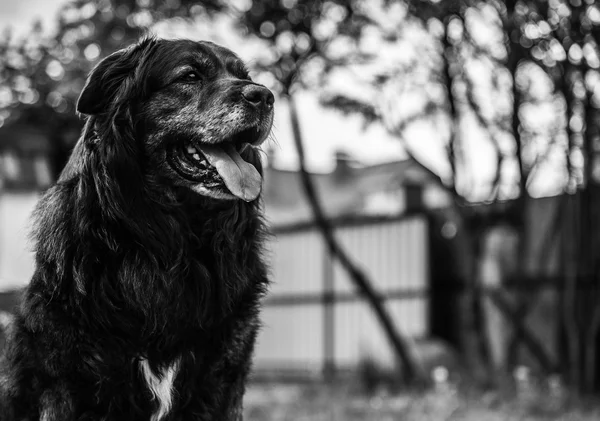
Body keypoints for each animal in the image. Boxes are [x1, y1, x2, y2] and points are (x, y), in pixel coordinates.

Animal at [0, 37, 274, 420]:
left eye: (244, 77)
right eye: (190, 76)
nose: (264, 96)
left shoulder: (221, 379)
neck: (170, 244)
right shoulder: (69, 384)